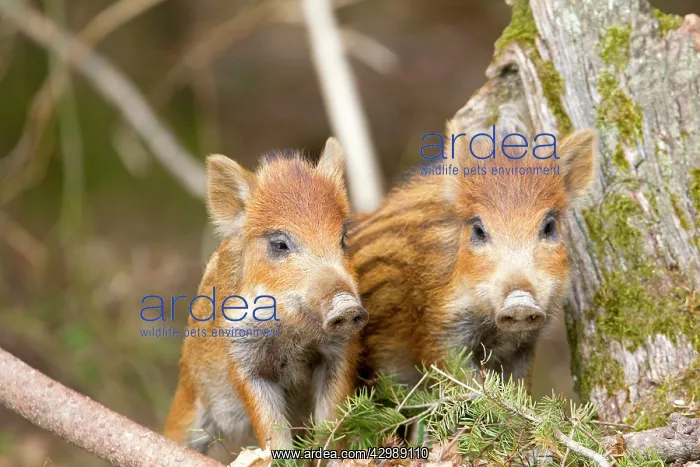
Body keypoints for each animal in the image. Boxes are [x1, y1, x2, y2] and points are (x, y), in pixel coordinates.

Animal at [164, 138, 368, 454]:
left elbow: (331, 421)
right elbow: (272, 430)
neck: (294, 335)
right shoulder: (243, 359)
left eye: (343, 238)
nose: (346, 307)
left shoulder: (340, 350)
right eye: (280, 244)